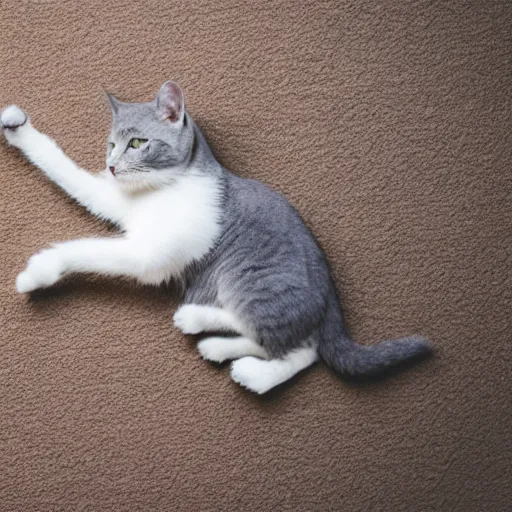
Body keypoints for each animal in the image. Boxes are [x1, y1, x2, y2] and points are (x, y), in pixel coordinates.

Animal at [1, 80, 432, 394]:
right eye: (110, 144)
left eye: (138, 142)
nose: (110, 165)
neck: (169, 185)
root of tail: (330, 295)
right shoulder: (114, 198)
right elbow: (66, 170)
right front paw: (17, 129)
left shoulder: (149, 254)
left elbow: (87, 250)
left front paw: (39, 271)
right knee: (289, 342)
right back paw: (209, 335)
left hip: (249, 275)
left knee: (298, 348)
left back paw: (240, 362)